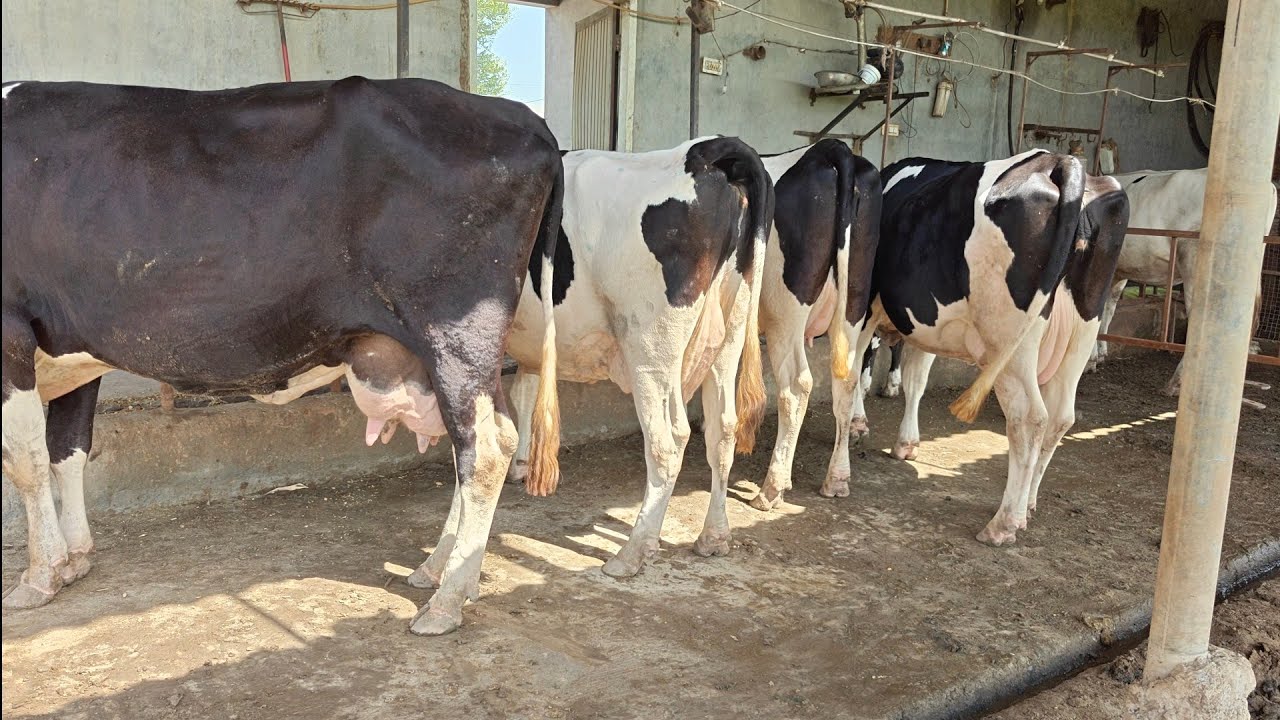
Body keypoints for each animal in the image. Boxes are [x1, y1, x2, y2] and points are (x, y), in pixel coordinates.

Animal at [1, 77, 563, 636]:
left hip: (457, 331)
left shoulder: (9, 331)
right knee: (471, 443)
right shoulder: (71, 349)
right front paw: (75, 558)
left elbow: (25, 461)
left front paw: (39, 575)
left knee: (486, 449)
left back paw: (447, 599)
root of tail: (521, 116)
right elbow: (66, 451)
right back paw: (441, 572)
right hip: (444, 355)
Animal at [401, 137, 773, 582]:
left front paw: (436, 562)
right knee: (723, 430)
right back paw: (714, 535)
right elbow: (525, 394)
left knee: (668, 441)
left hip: (649, 348)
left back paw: (632, 553)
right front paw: (522, 465)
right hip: (727, 334)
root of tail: (703, 153)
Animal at [738, 140, 882, 510]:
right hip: (854, 302)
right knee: (846, 382)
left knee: (796, 386)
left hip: (785, 312)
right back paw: (836, 479)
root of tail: (831, 149)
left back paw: (772, 488)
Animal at [865, 151, 1128, 545]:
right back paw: (1027, 506)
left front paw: (858, 423)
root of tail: (1059, 161)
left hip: (1009, 341)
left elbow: (859, 368)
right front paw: (905, 443)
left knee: (1030, 418)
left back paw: (1003, 523)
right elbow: (916, 381)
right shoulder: (929, 319)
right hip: (1082, 331)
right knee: (1061, 416)